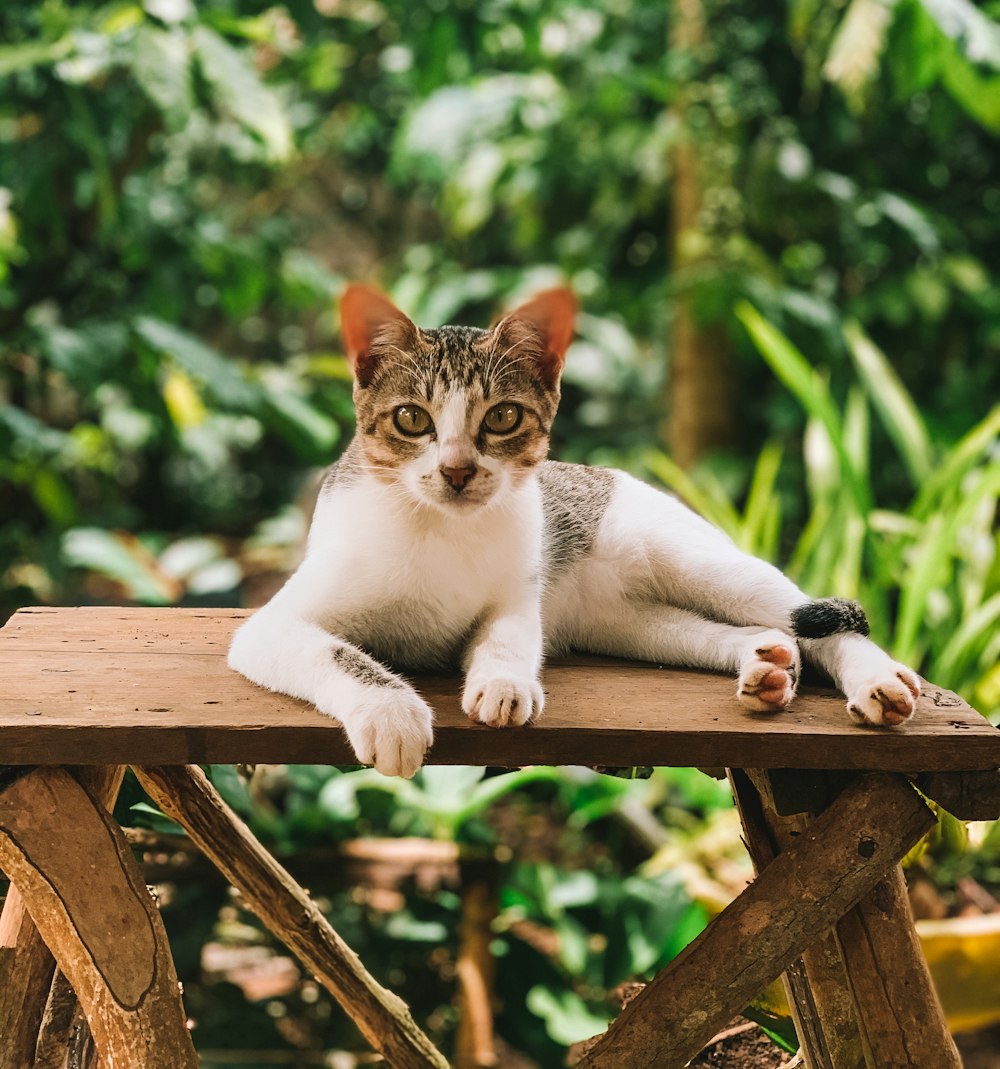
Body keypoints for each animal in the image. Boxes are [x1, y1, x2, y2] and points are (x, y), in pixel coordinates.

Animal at [226, 286, 924, 778]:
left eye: (502, 418)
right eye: (411, 419)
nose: (456, 470)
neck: (440, 528)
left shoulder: (517, 593)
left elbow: (507, 635)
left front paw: (503, 681)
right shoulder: (273, 625)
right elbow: (334, 651)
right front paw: (391, 710)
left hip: (700, 561)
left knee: (815, 617)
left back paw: (876, 680)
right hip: (629, 625)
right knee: (756, 630)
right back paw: (765, 664)